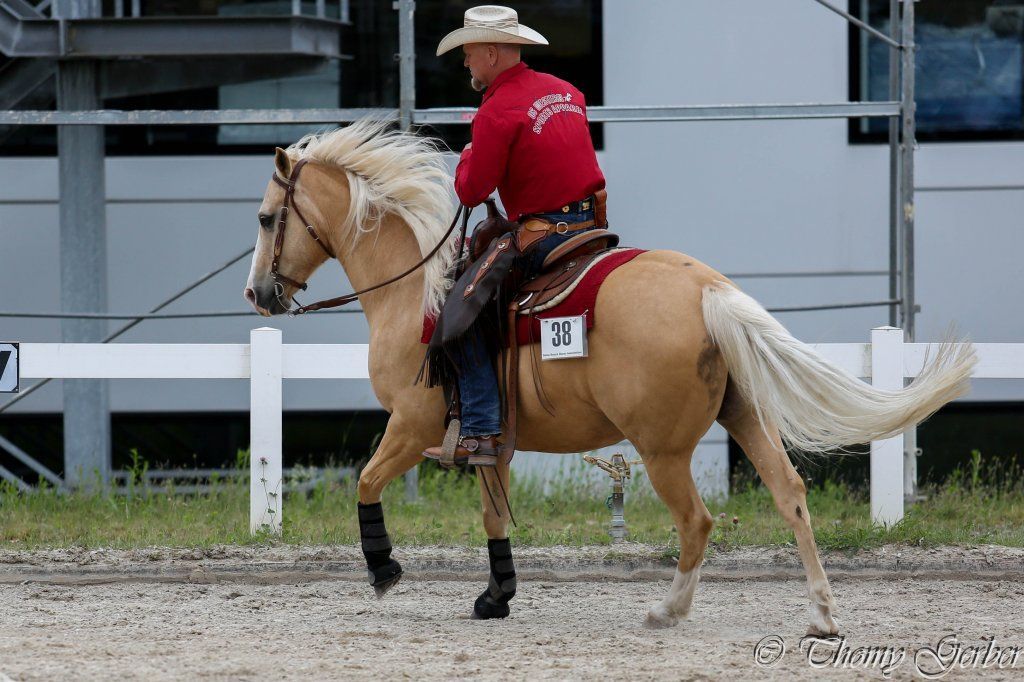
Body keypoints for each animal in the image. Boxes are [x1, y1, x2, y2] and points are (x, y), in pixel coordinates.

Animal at [243, 119, 976, 632]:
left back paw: (667, 612)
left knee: (697, 522)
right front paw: (495, 597)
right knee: (790, 494)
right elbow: (493, 514)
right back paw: (821, 614)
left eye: (266, 217)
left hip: (663, 450)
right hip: (744, 417)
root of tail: (707, 289)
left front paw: (385, 568)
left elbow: (366, 481)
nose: (257, 293)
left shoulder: (412, 422)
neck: (415, 290)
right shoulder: (491, 442)